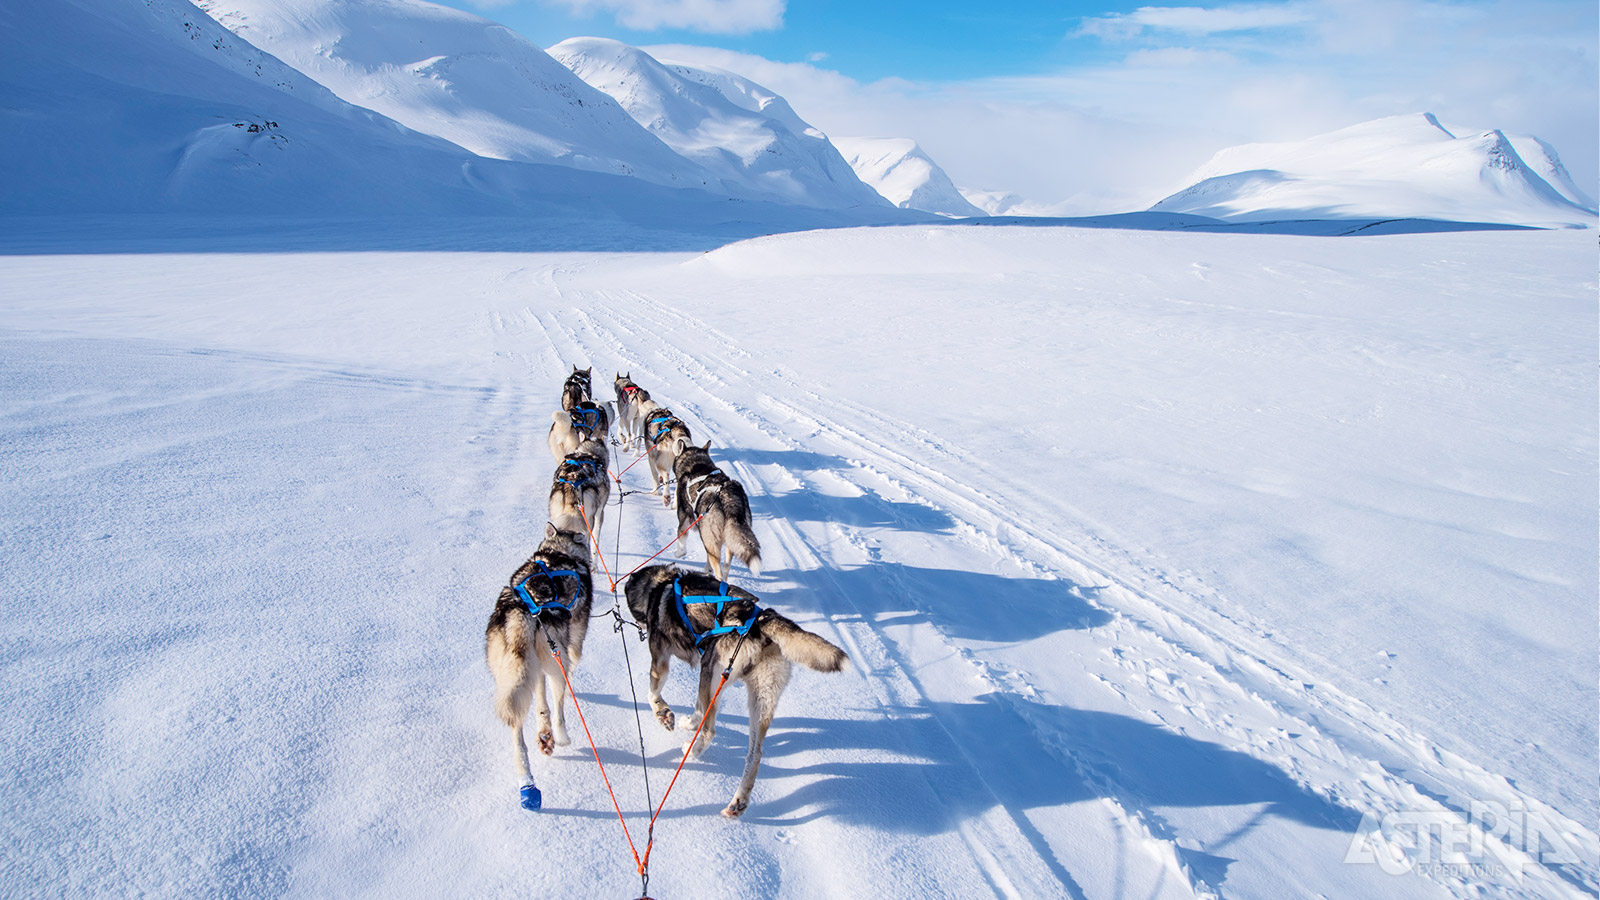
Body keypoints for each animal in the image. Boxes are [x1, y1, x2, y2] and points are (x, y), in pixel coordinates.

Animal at [483, 518, 598, 784]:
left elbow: (540, 697)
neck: (559, 552)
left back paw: (527, 769)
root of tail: (524, 607)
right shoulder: (573, 644)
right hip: (557, 660)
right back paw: (561, 737)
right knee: (559, 708)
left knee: (518, 724)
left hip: (512, 670)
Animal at [624, 563, 851, 816]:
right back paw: (738, 803)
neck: (661, 586)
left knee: (710, 731)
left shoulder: (661, 660)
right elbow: (698, 709)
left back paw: (692, 751)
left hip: (711, 673)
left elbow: (653, 693)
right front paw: (687, 722)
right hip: (755, 697)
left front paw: (664, 714)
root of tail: (760, 621)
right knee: (754, 755)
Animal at [668, 441, 755, 582]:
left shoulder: (684, 518)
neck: (696, 462)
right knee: (725, 567)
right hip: (728, 541)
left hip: (710, 537)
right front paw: (707, 569)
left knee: (719, 570)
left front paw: (679, 553)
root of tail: (728, 498)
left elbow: (681, 537)